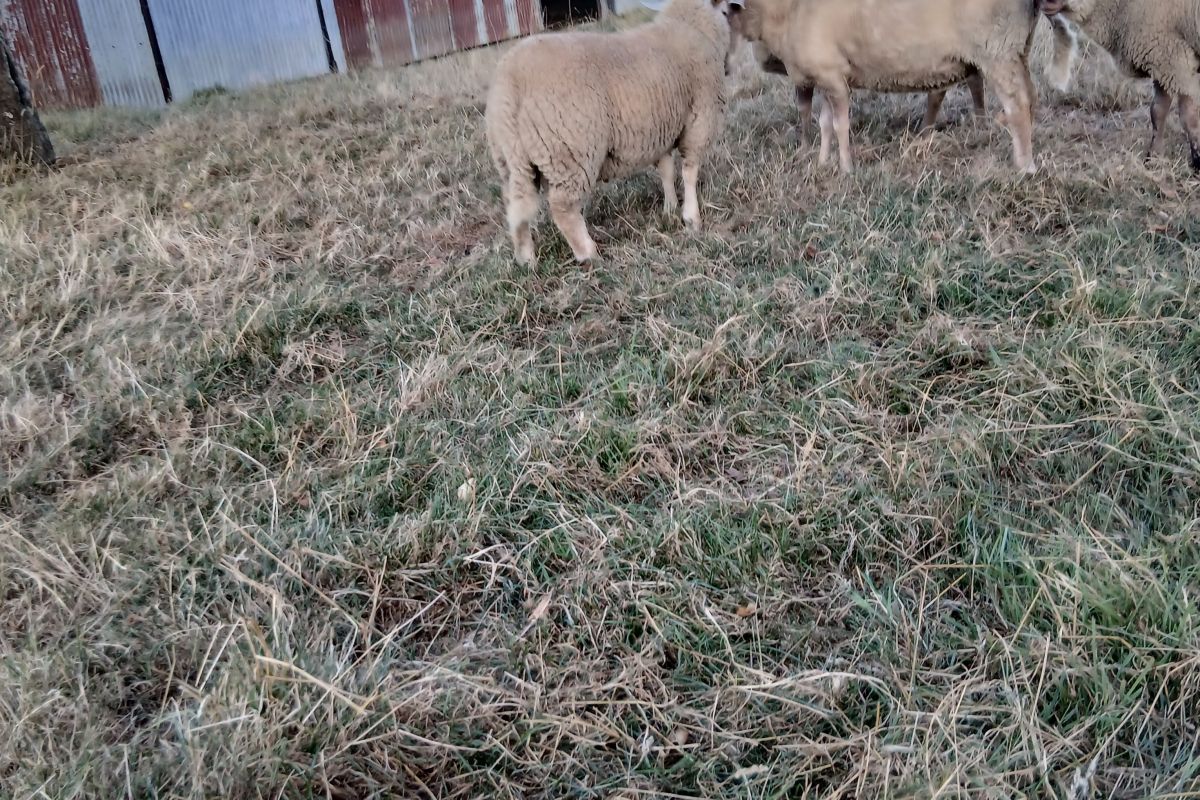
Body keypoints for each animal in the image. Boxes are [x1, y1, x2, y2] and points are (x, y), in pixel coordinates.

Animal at [484, 0, 736, 265]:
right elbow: (689, 172)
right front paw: (692, 218)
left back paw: (527, 260)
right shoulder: (700, 117)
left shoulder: (662, 129)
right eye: (726, 11)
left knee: (515, 206)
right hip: (570, 150)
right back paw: (589, 254)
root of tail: (509, 84)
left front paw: (670, 208)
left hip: (510, 159)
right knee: (563, 208)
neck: (691, 26)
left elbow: (666, 171)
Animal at [1039, 0, 1200, 171]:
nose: (1044, 4)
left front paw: (1197, 161)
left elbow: (1189, 118)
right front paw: (1153, 158)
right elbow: (1157, 112)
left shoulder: (1176, 60)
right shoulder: (1163, 62)